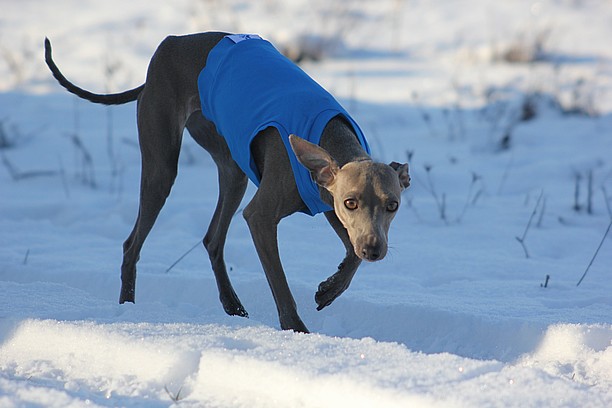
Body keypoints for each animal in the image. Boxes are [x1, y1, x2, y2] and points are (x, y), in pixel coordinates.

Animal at [44, 31, 412, 332]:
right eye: (351, 202)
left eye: (393, 205)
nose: (375, 249)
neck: (330, 137)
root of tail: (169, 45)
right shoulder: (263, 217)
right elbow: (281, 284)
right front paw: (297, 331)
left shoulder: (327, 203)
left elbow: (351, 254)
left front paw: (329, 290)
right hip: (162, 167)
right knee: (132, 243)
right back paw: (128, 307)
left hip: (232, 167)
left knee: (212, 239)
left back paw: (232, 304)